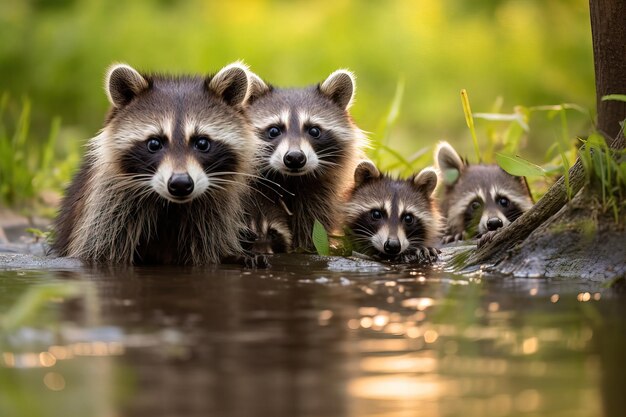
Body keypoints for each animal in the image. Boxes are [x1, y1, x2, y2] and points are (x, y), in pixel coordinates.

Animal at [51, 61, 260, 264]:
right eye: (154, 143)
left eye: (202, 143)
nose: (180, 184)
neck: (171, 206)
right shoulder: (106, 208)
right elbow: (101, 250)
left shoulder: (214, 215)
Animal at [244, 69, 368, 250]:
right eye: (274, 130)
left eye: (314, 131)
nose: (295, 158)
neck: (291, 180)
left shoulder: (322, 194)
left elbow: (312, 223)